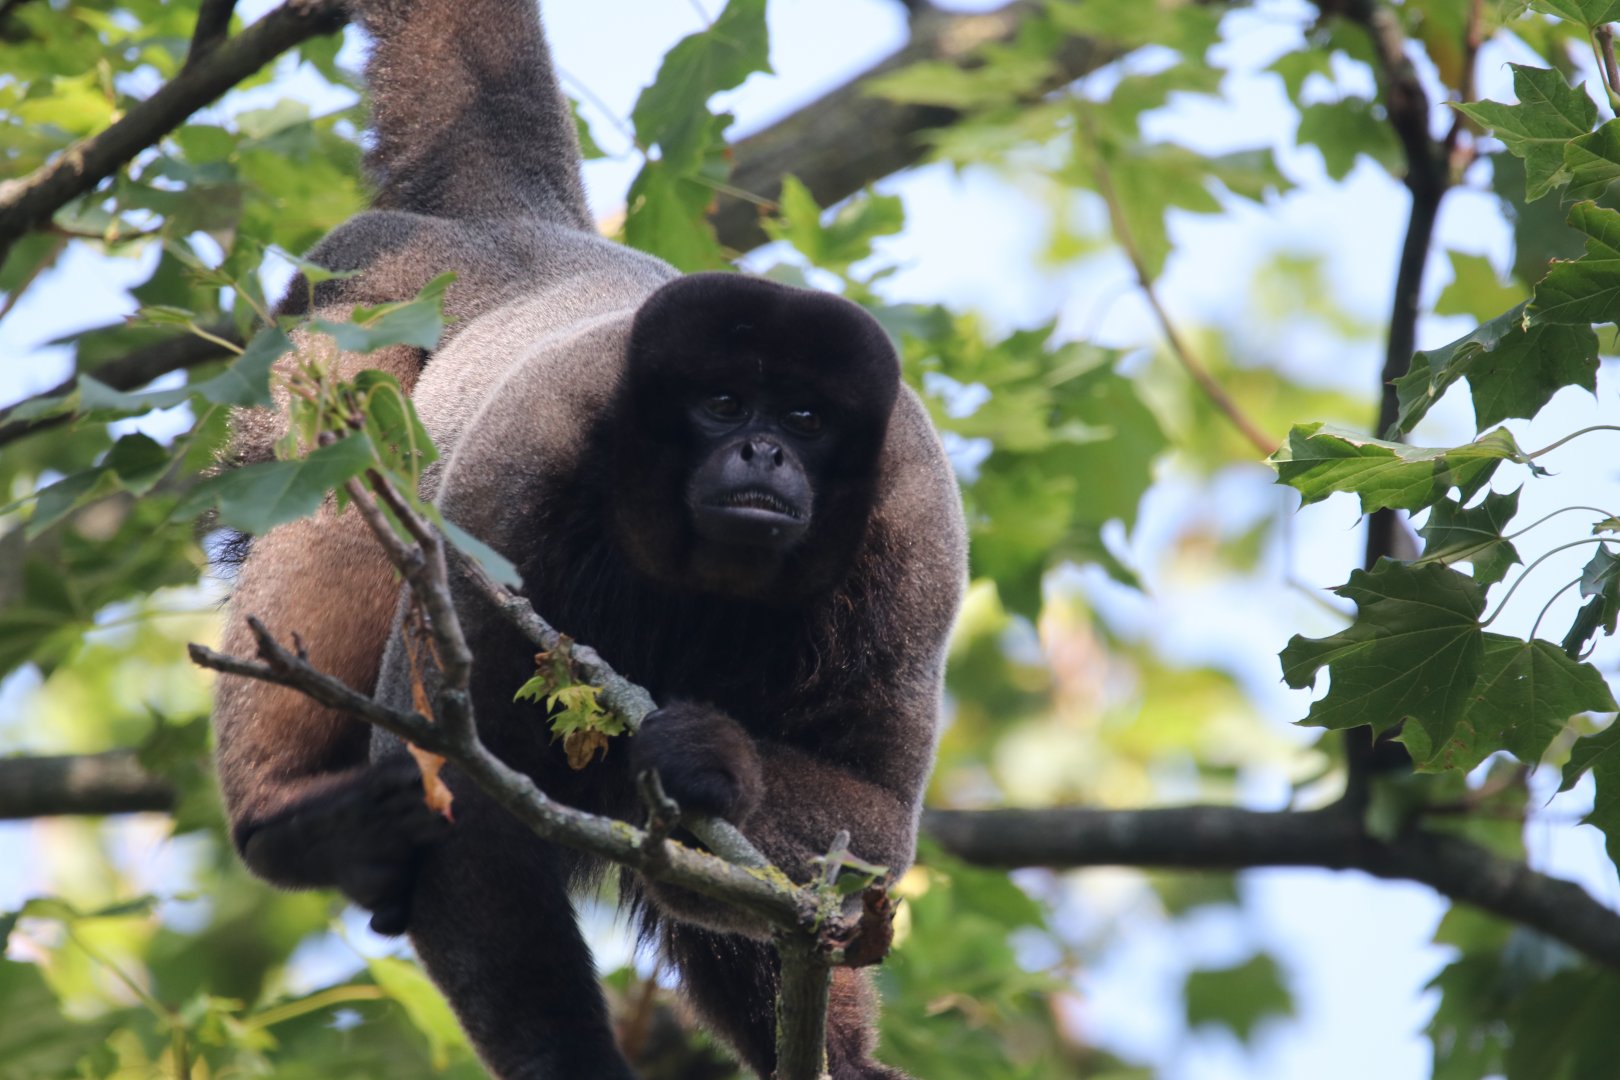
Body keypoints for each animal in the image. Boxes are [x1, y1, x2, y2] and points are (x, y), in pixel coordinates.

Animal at [210, 2, 966, 1078]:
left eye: (808, 417)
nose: (765, 450)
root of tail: (520, 227)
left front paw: (710, 759)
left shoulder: (916, 543)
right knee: (340, 493)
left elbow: (877, 832)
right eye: (722, 404)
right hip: (343, 309)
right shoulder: (511, 482)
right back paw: (289, 821)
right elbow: (459, 811)